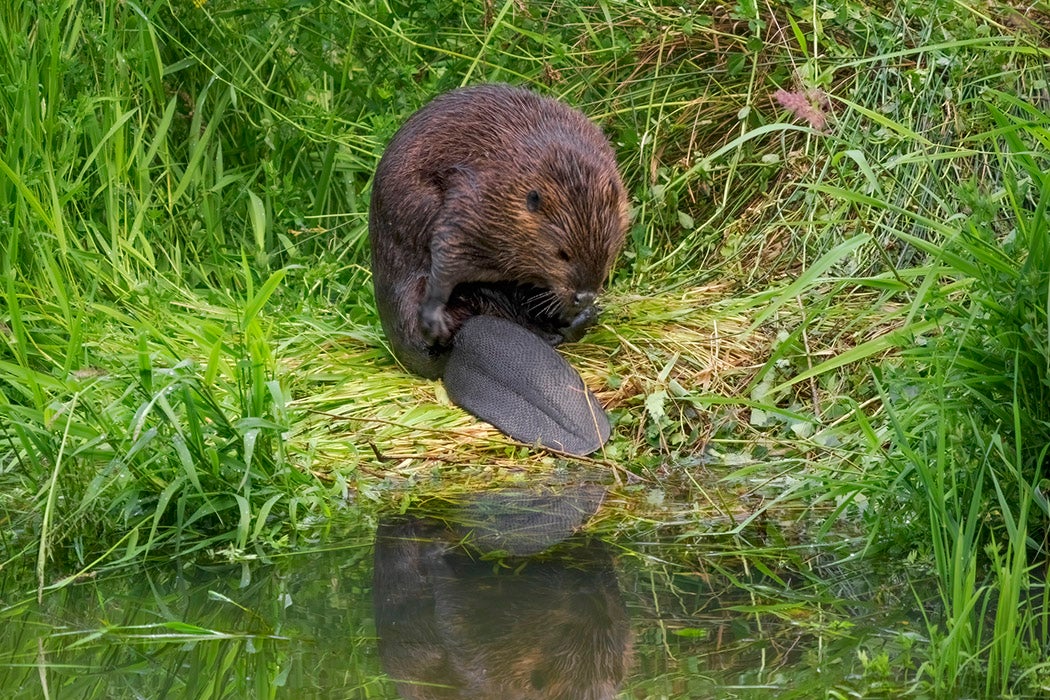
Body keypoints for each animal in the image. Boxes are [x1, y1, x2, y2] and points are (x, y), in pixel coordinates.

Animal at [369, 82, 625, 379]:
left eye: (607, 251)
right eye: (562, 254)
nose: (584, 297)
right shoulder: (477, 197)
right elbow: (448, 247)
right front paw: (433, 318)